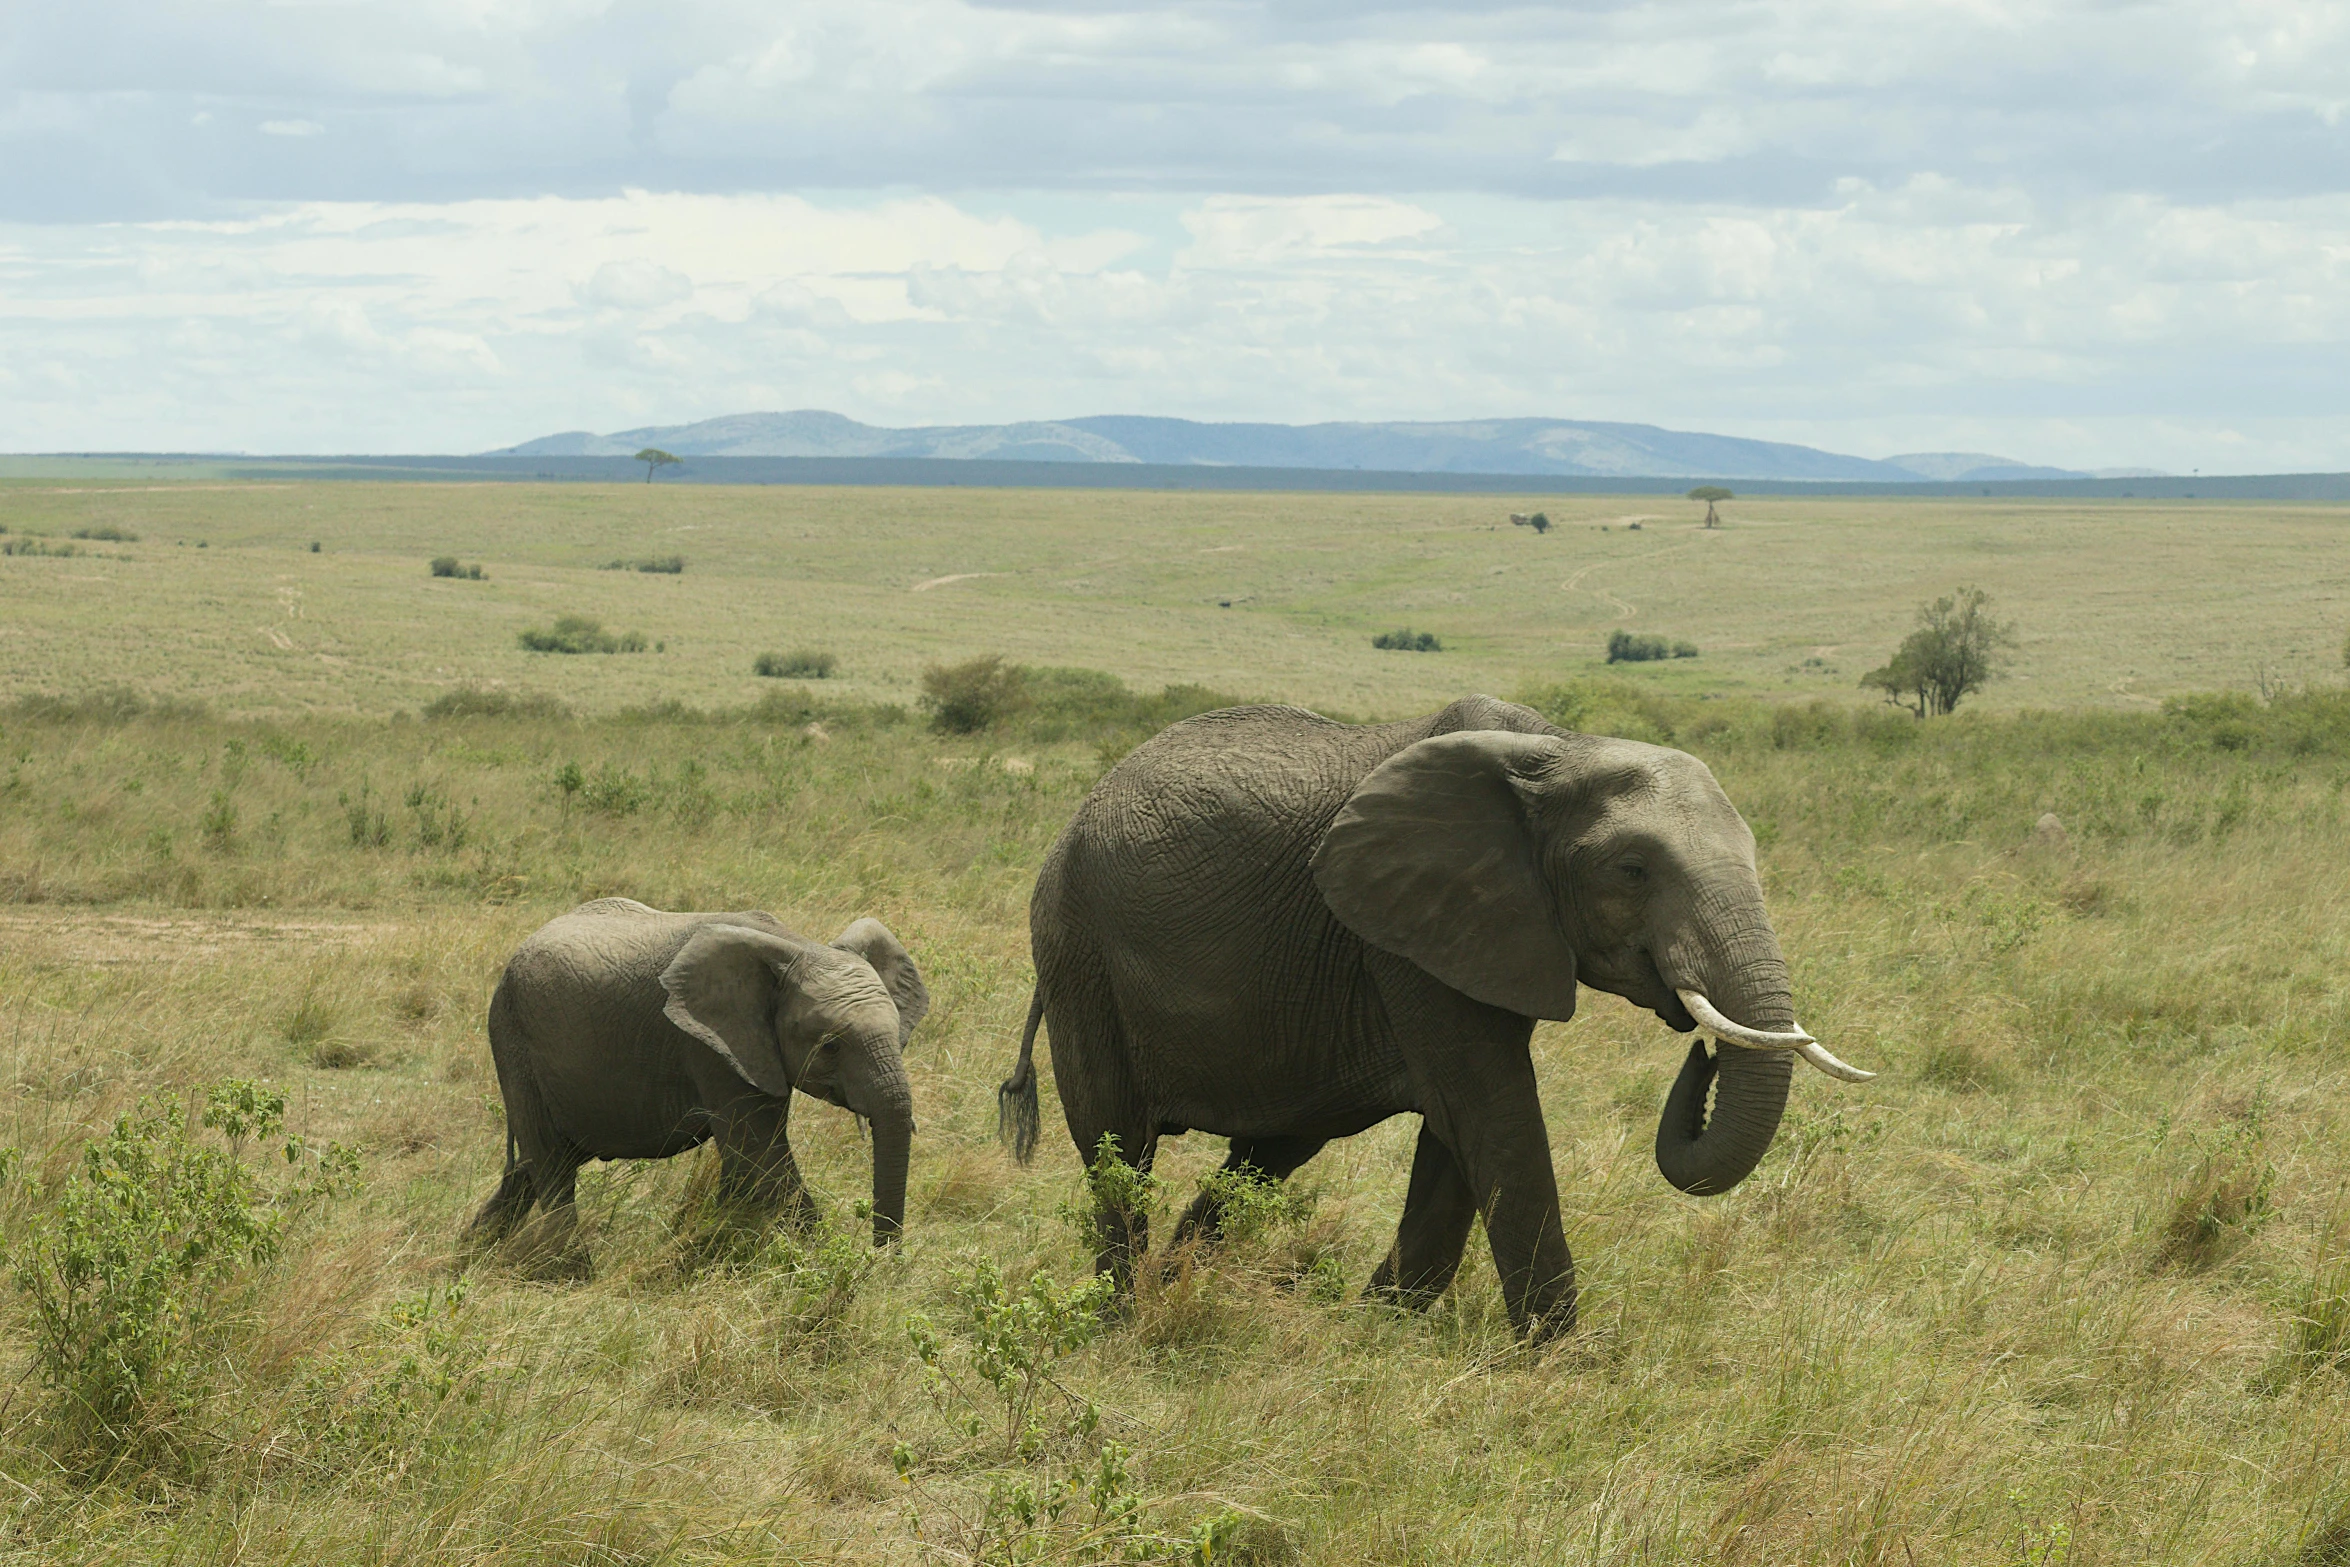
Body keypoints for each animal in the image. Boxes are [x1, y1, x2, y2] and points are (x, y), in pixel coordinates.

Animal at [467, 892, 925, 1259]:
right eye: (831, 1046)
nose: (886, 1263)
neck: (797, 945)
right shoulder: (710, 1045)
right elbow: (759, 1153)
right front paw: (825, 1260)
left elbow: (746, 1160)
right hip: (513, 1040)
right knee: (550, 1165)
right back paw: (573, 1271)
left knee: (530, 1169)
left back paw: (471, 1256)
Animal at [996, 700, 1870, 1353]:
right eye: (1631, 870)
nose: (1703, 1047)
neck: (1558, 748)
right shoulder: (1405, 932)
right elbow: (1493, 1112)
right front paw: (1565, 1363)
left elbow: (1461, 1133)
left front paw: (1374, 1329)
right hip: (1078, 951)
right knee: (1118, 1144)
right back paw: (1124, 1318)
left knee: (1267, 1152)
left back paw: (1178, 1288)